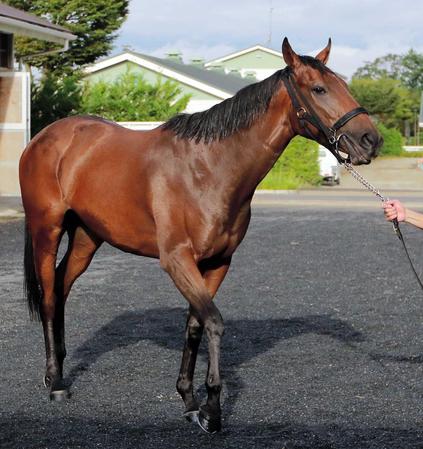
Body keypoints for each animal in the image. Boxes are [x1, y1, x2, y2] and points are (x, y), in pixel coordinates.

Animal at [19, 39, 380, 434]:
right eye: (319, 89)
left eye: (344, 84)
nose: (371, 140)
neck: (209, 169)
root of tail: (46, 137)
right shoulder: (177, 260)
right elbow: (215, 323)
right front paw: (213, 410)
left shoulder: (217, 262)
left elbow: (195, 324)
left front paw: (190, 401)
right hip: (47, 229)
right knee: (49, 296)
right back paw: (55, 382)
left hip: (87, 237)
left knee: (62, 287)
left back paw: (60, 369)